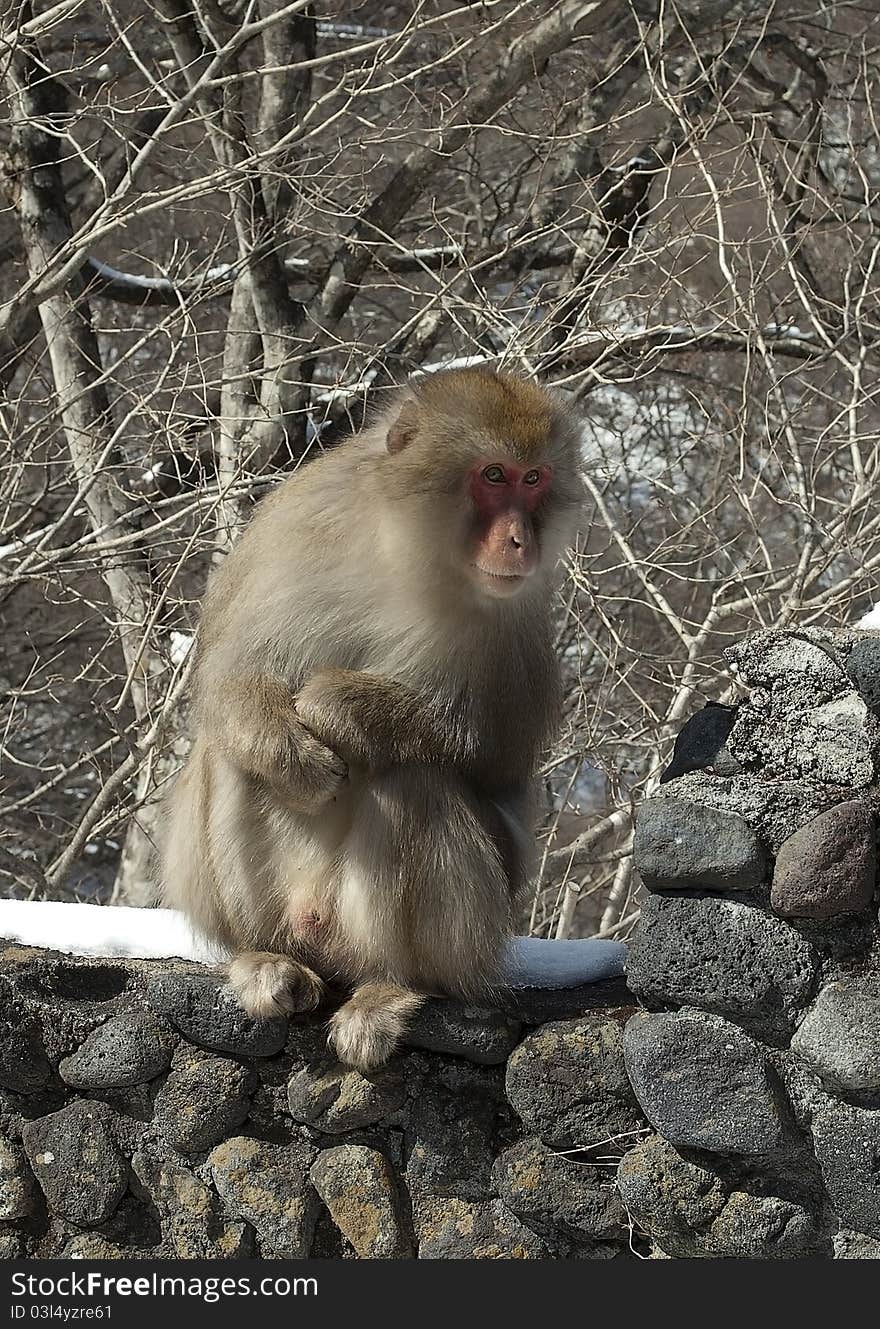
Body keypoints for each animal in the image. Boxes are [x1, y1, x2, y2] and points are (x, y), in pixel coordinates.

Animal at [162, 364, 590, 1068]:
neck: (404, 550)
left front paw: (333, 704)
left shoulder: (514, 619)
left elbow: (493, 755)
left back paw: (395, 987)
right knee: (227, 755)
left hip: (453, 936)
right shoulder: (298, 525)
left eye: (535, 480)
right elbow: (231, 672)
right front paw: (291, 751)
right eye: (493, 475)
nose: (520, 539)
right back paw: (265, 959)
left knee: (413, 781)